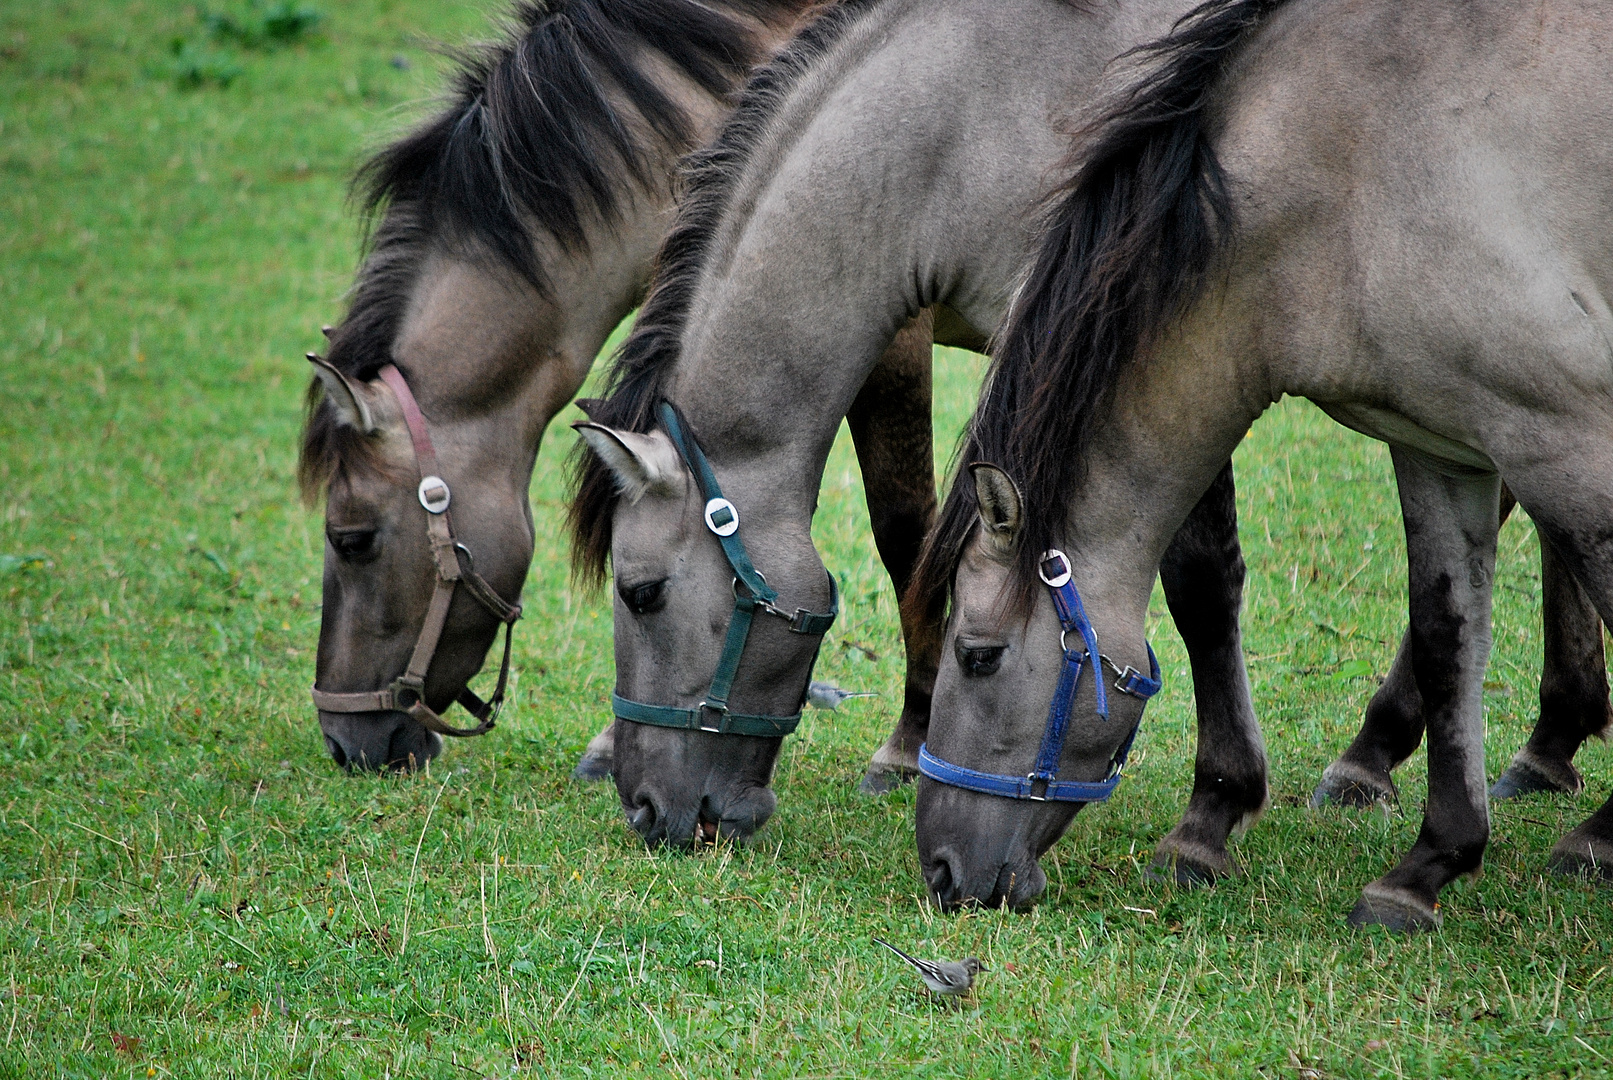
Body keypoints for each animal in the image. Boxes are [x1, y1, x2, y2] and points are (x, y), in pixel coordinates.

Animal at [909, 0, 1613, 928]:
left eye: (977, 655)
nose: (940, 869)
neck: (1353, 156)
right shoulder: (1440, 447)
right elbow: (1446, 637)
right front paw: (1426, 865)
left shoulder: (1560, 437)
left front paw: (1599, 841)